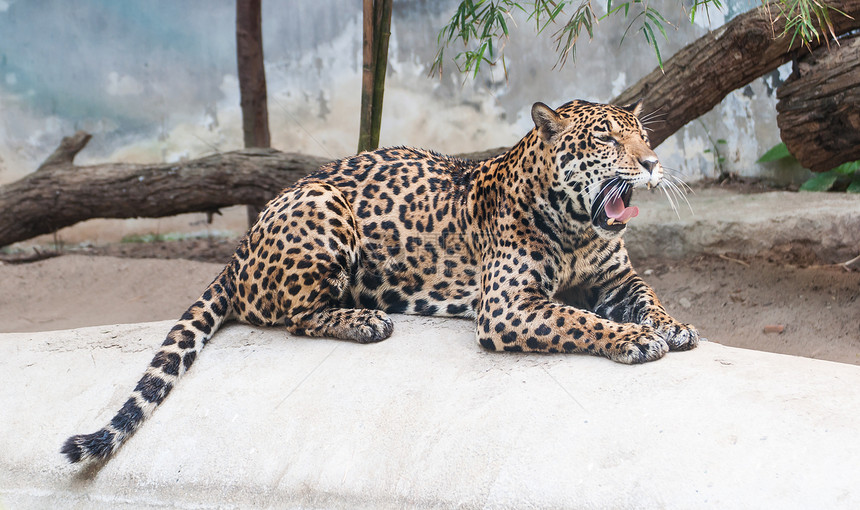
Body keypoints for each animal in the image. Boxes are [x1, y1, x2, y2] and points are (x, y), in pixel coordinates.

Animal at [65, 98, 700, 462]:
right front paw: (634, 339)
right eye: (605, 138)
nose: (651, 164)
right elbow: (576, 318)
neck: (576, 225)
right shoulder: (508, 305)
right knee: (292, 316)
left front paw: (673, 327)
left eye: (642, 135)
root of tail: (239, 250)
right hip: (323, 207)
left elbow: (648, 296)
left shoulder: (615, 280)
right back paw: (365, 319)